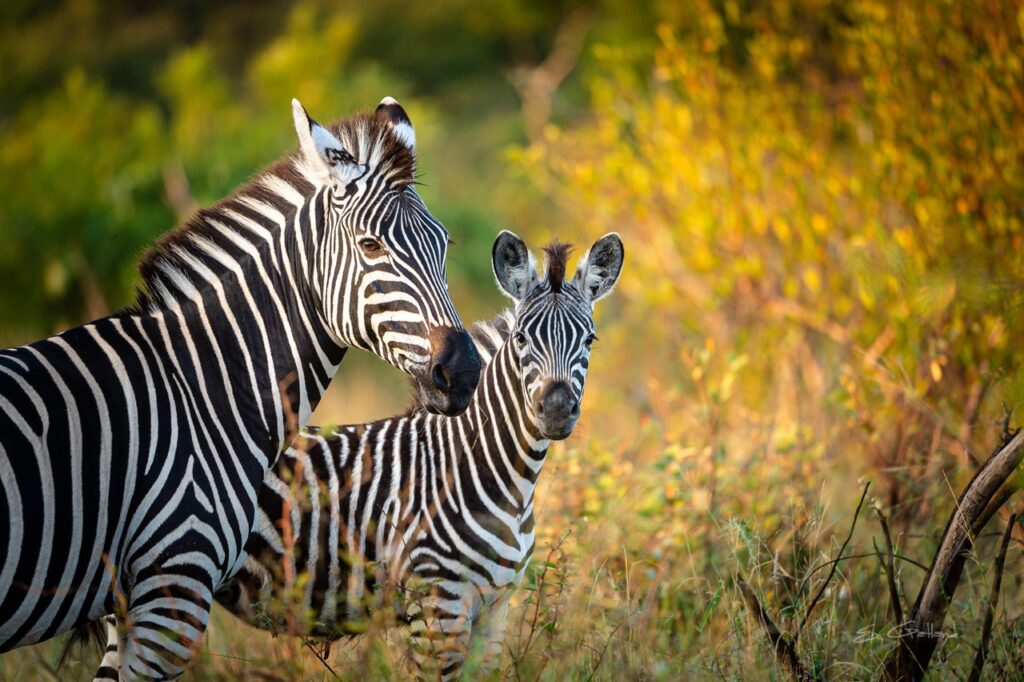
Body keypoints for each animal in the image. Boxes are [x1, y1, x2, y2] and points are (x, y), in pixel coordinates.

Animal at [0, 96, 482, 679]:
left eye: (444, 244)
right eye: (370, 246)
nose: (465, 371)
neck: (198, 388)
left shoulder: (128, 607)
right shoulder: (173, 592)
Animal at [87, 230, 624, 680]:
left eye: (590, 340)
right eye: (521, 339)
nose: (555, 409)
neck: (493, 474)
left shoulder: (495, 611)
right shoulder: (437, 608)